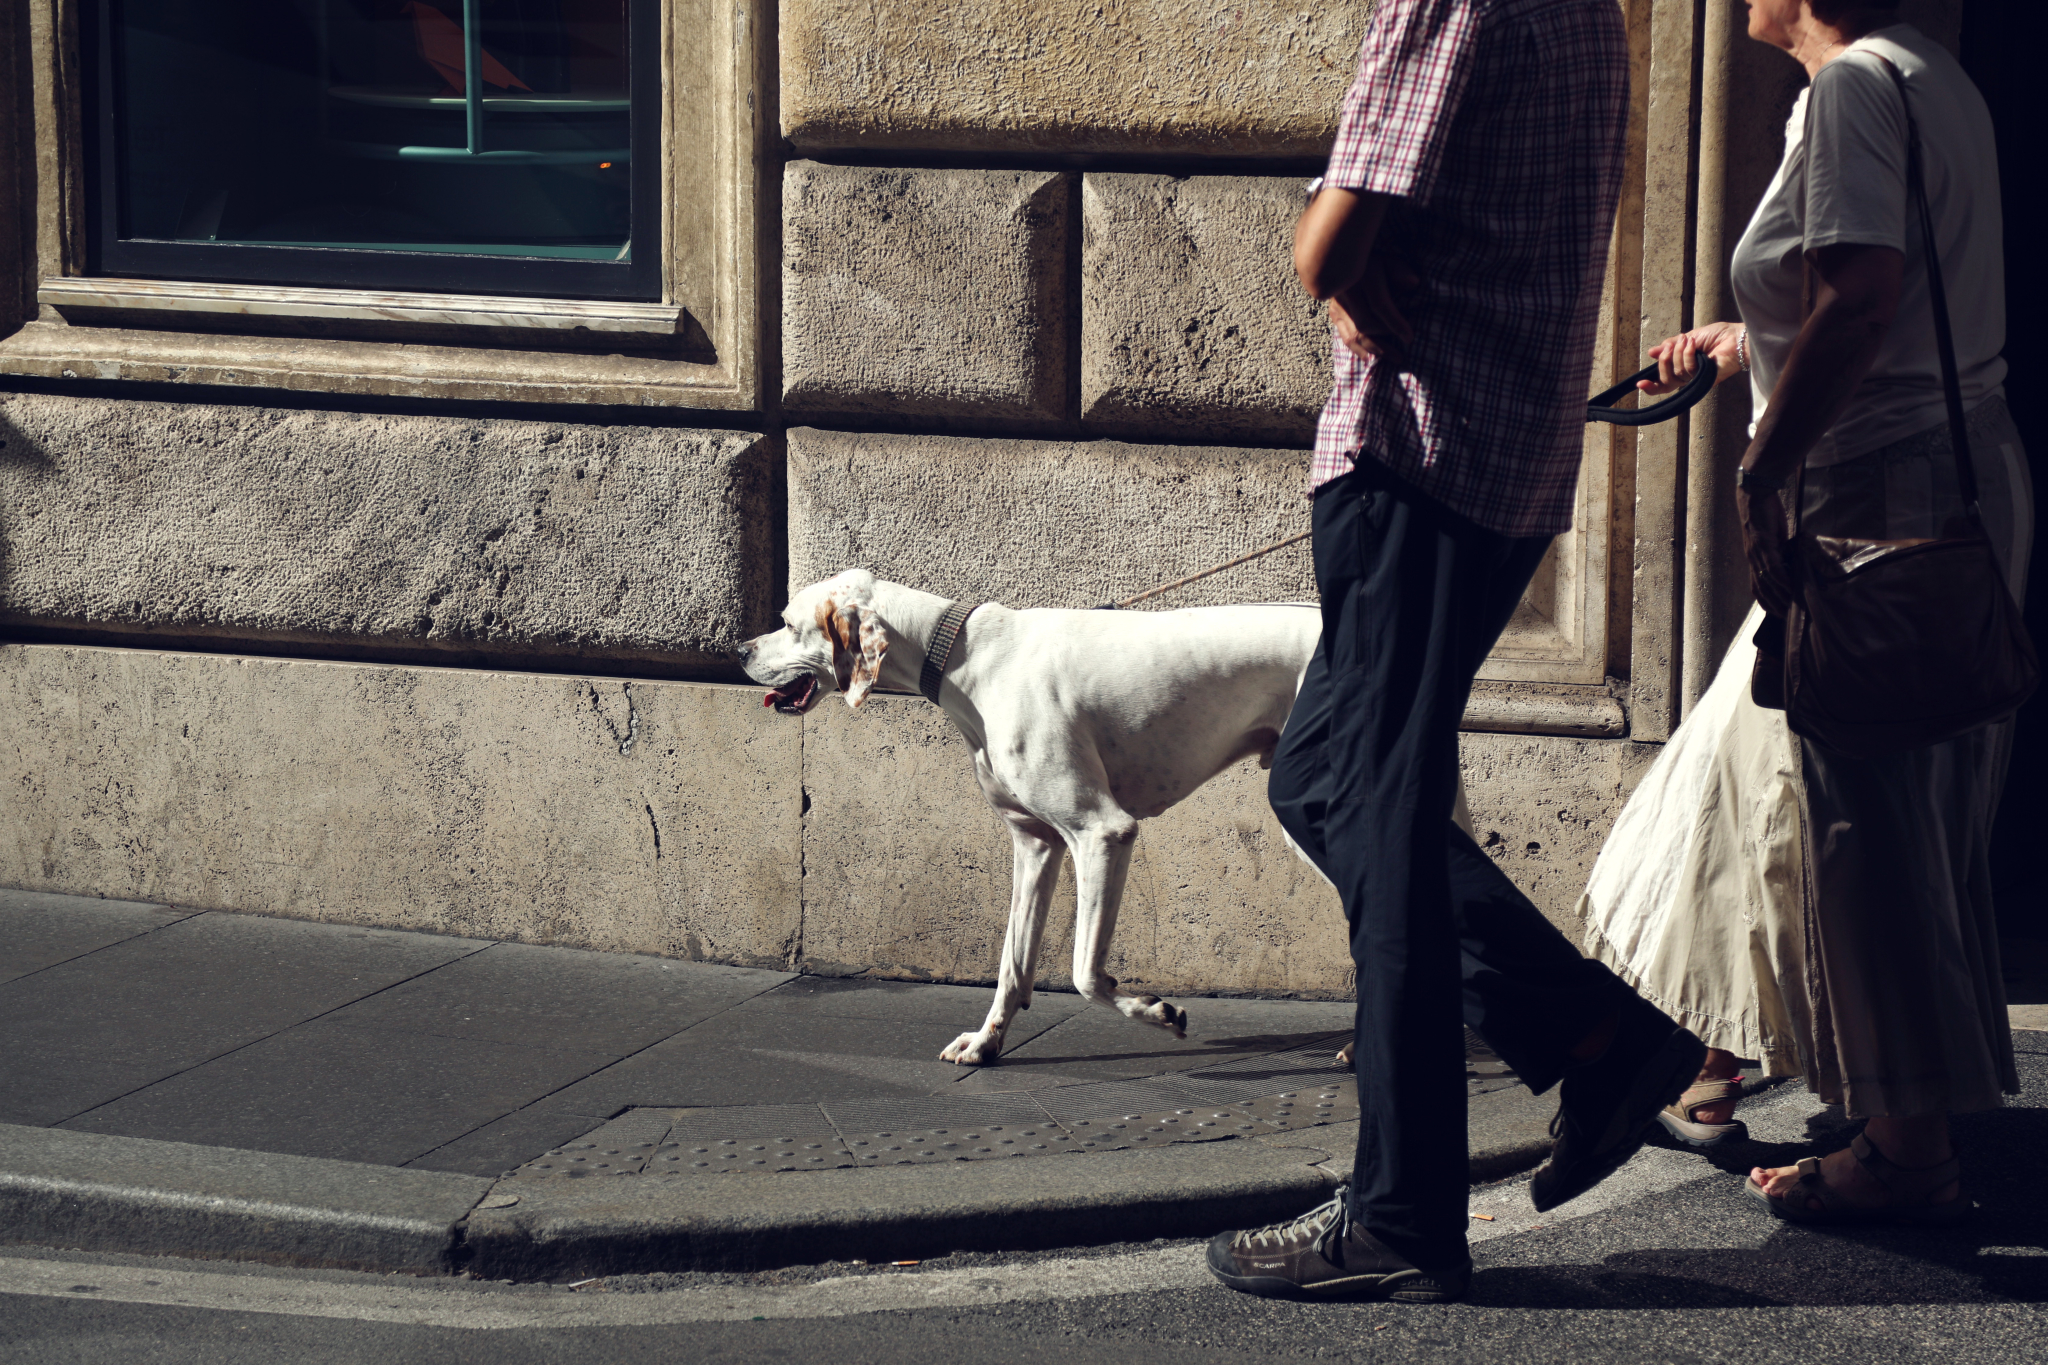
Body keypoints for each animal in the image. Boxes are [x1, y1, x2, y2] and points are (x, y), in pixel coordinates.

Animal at [737, 564, 1310, 1064]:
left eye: (788, 623)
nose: (738, 649)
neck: (965, 658)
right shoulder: (1036, 844)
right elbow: (1013, 963)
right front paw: (985, 1042)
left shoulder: (1101, 832)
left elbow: (1084, 974)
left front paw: (1154, 1011)